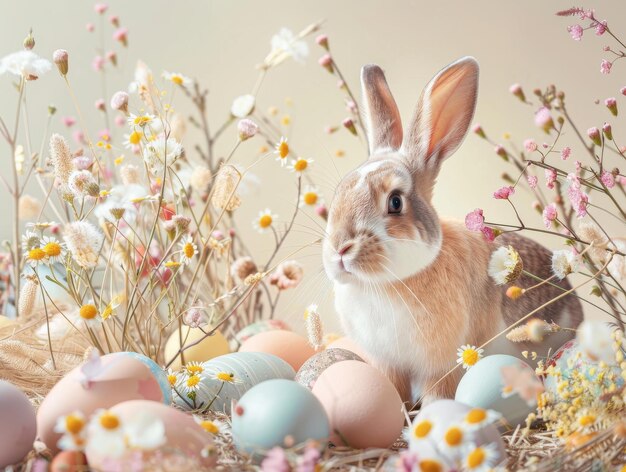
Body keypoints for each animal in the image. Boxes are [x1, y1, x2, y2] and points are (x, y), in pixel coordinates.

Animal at [322, 57, 580, 404]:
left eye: (395, 202)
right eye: (339, 193)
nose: (340, 248)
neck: (386, 283)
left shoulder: (441, 365)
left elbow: (438, 395)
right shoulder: (387, 364)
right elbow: (391, 392)